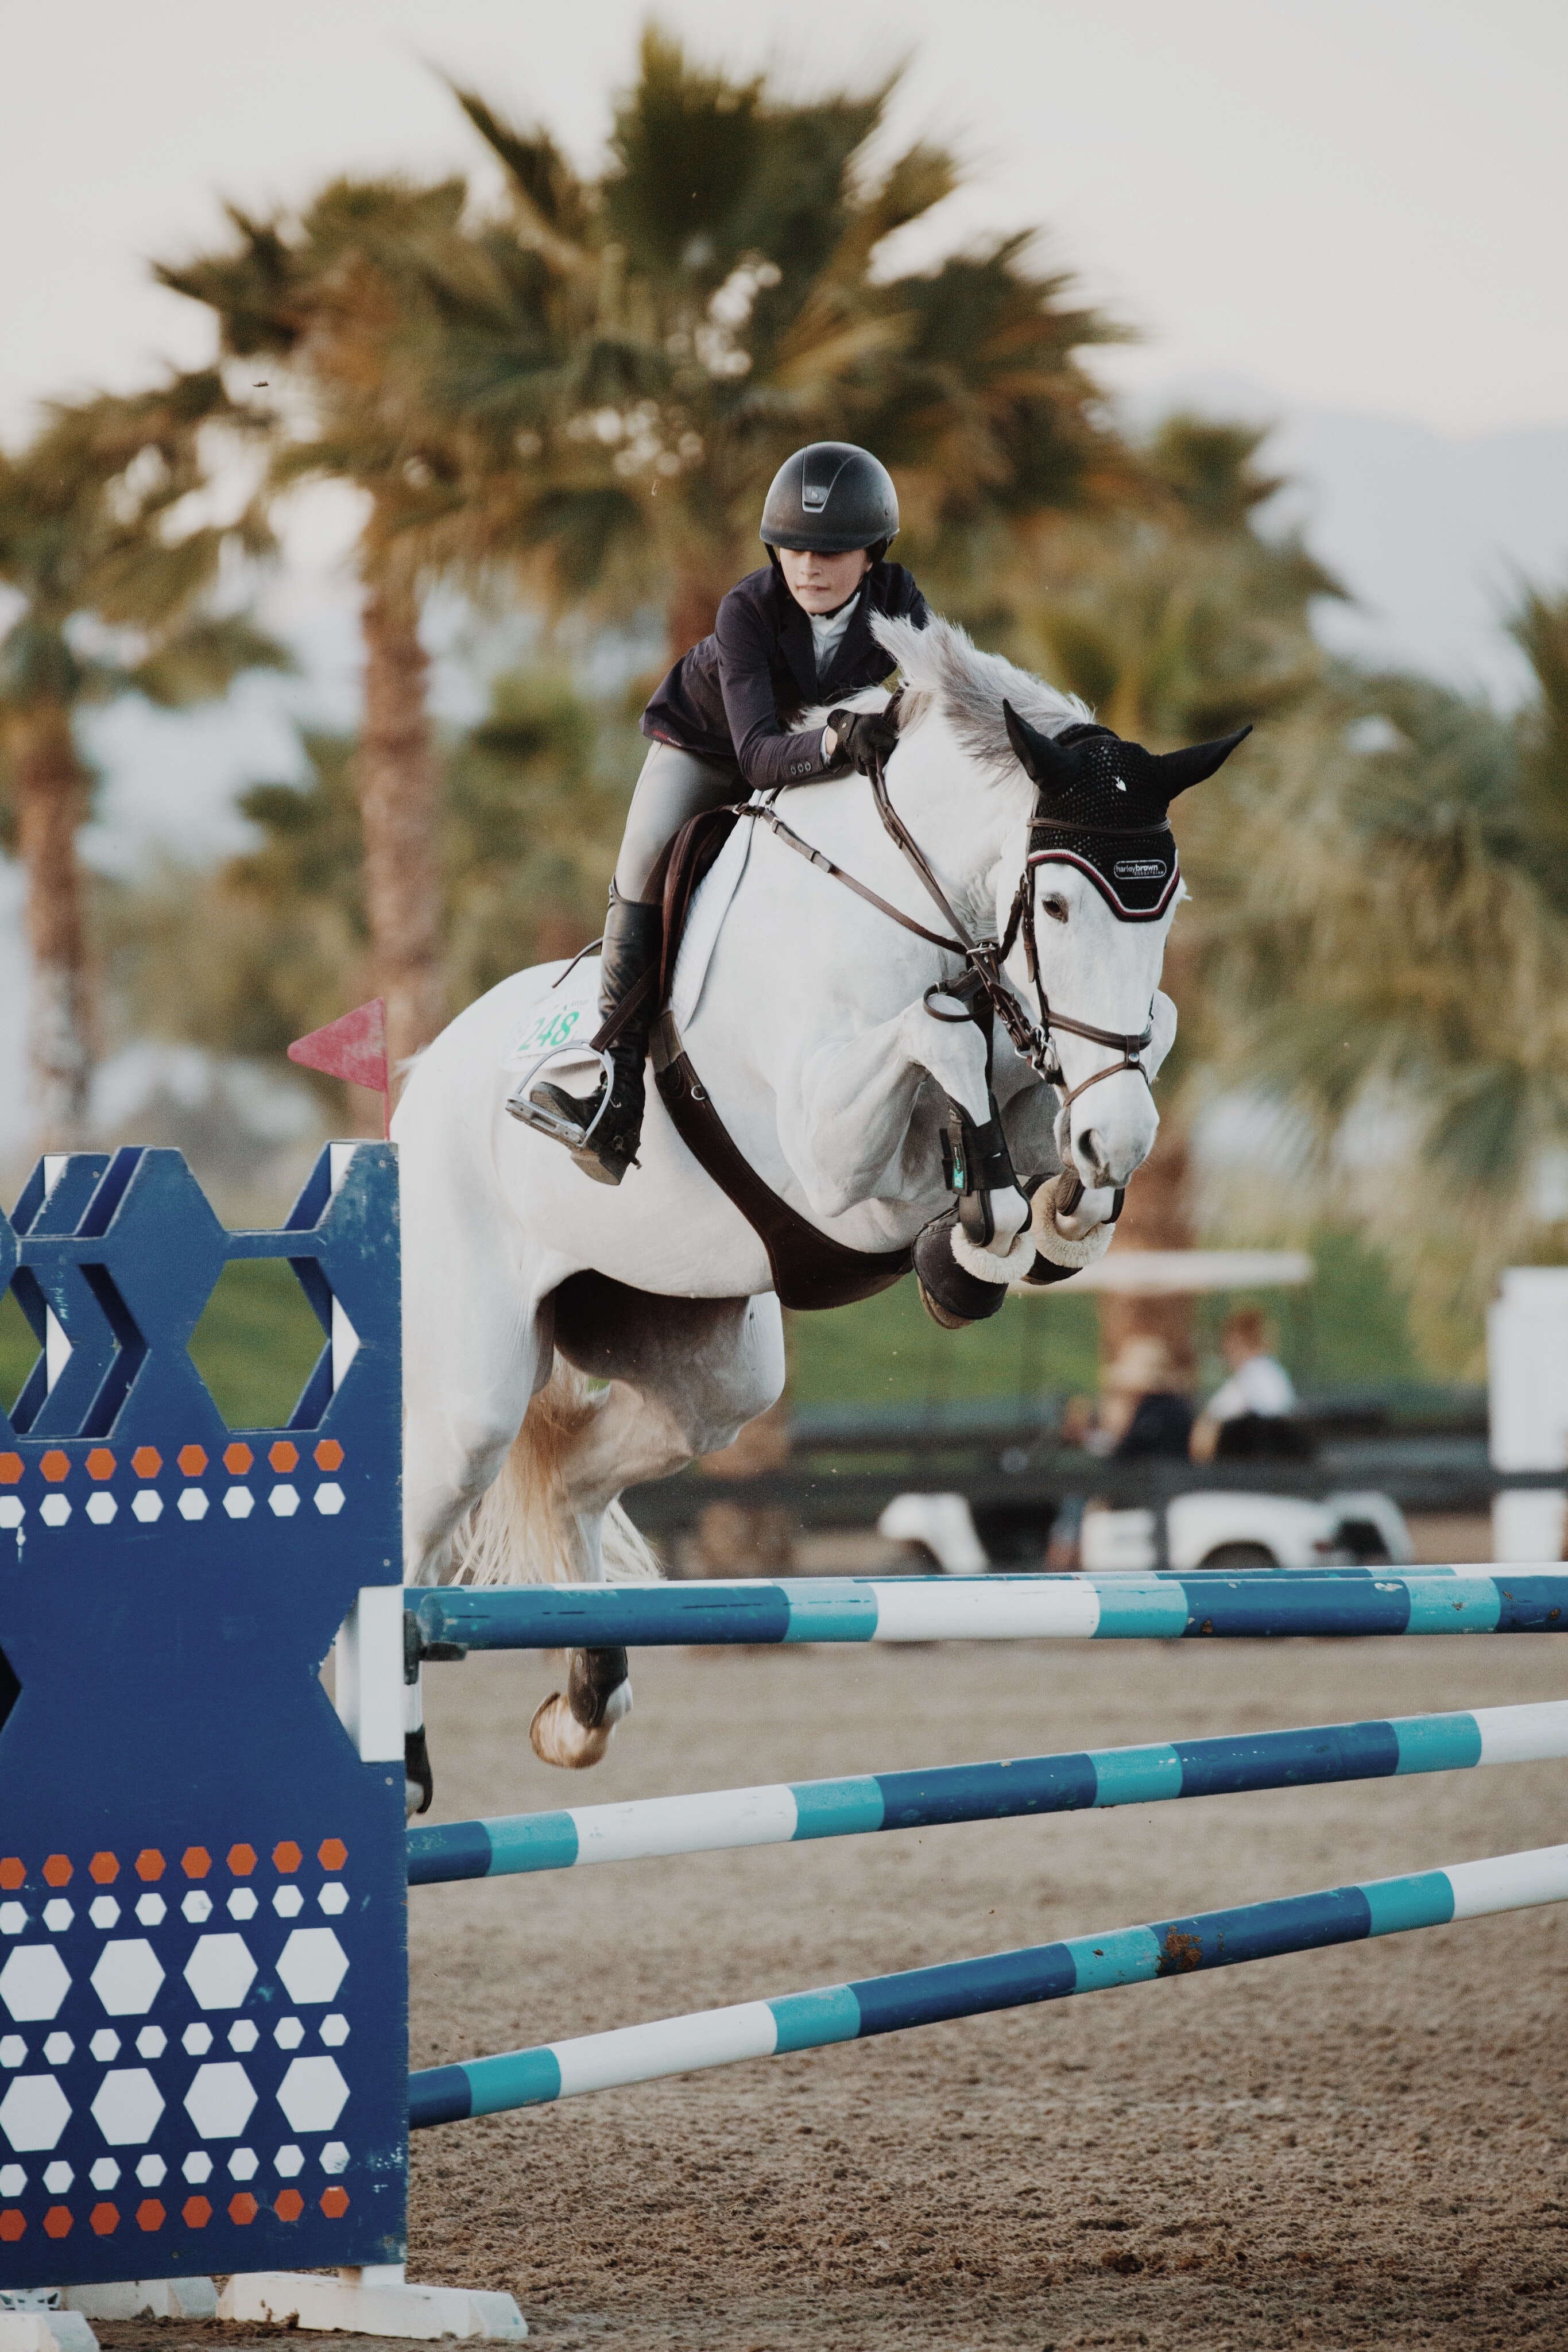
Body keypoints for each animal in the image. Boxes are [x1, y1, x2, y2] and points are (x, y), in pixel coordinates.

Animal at [394, 614, 1226, 1783]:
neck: (924, 909)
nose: (1121, 1139)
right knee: (411, 1523)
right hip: (468, 1392)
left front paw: (1065, 1211)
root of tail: (417, 1086)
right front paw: (975, 1244)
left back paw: (582, 1707)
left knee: (570, 1484)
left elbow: (1131, 1043)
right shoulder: (834, 1168)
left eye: (1167, 905)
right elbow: (939, 1047)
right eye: (1058, 903)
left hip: (708, 1374)